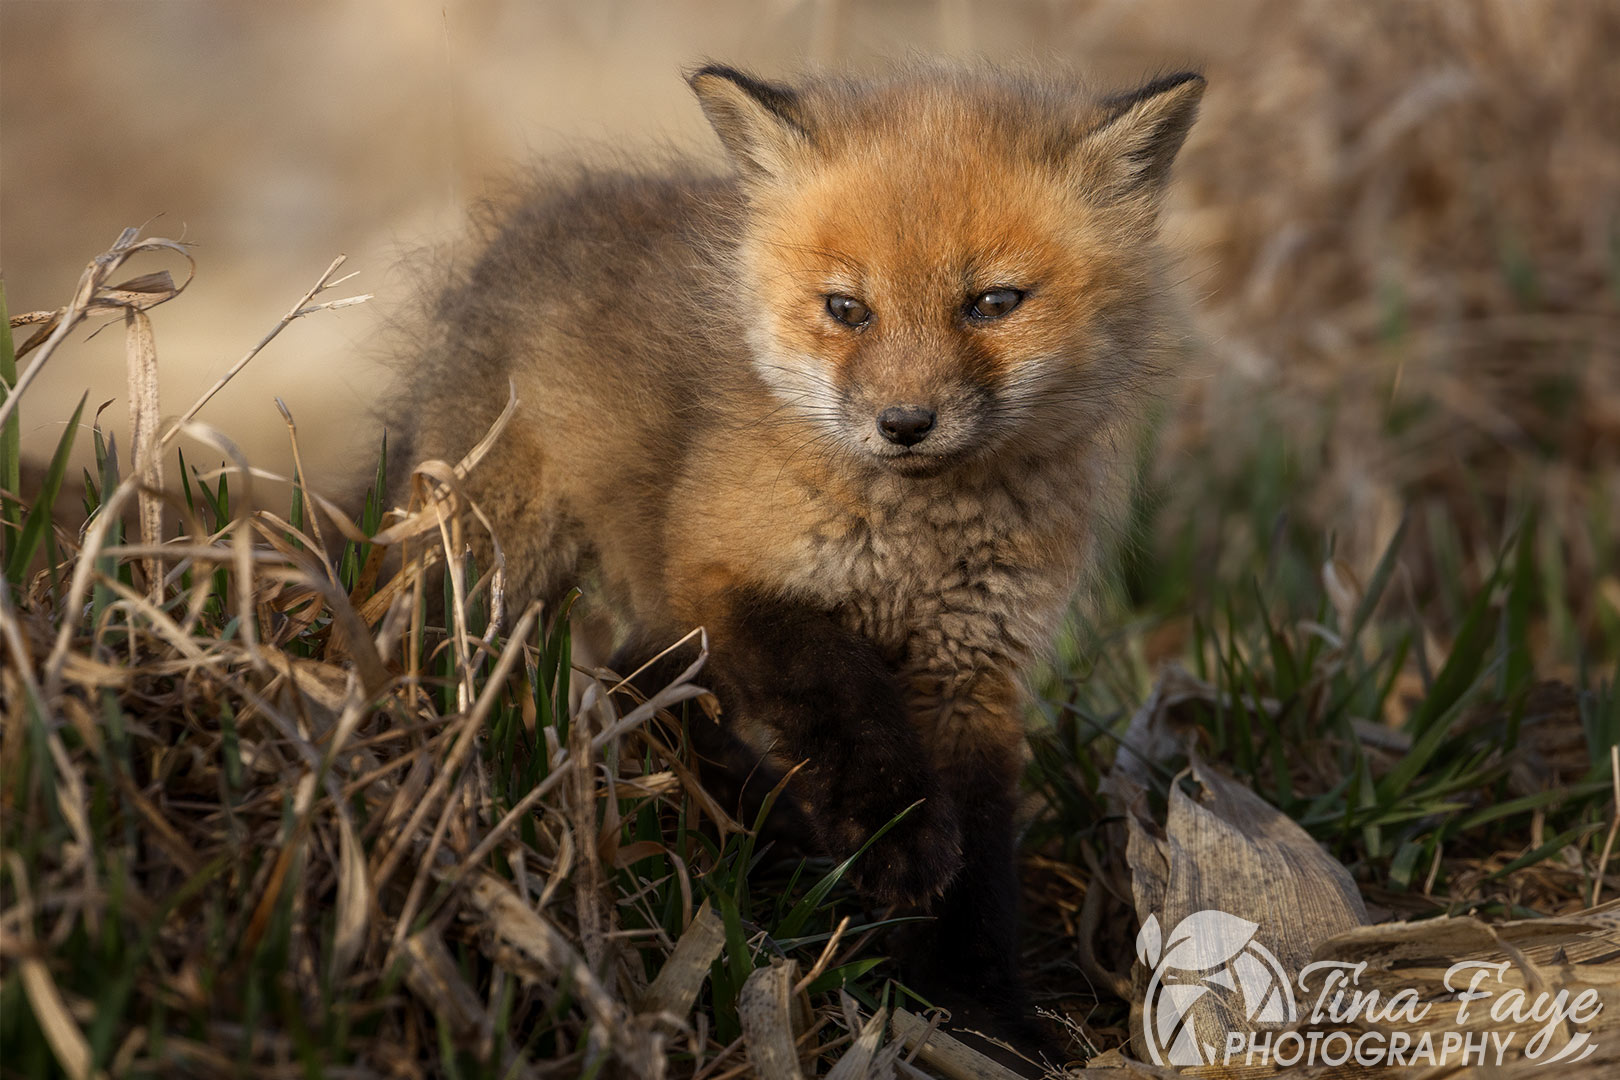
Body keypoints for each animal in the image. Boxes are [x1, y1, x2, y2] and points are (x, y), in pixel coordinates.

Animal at [392, 63, 1203, 1047]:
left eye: (993, 303)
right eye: (847, 310)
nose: (904, 423)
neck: (915, 543)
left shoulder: (973, 665)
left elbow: (982, 855)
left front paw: (975, 1007)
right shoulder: (725, 582)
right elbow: (840, 688)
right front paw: (895, 836)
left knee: (630, 681)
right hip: (503, 564)